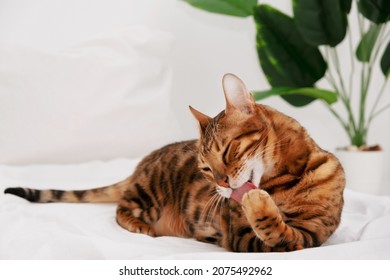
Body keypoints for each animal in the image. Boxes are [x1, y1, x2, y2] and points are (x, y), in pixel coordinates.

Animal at [3, 73, 344, 253]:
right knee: (121, 208)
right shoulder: (242, 236)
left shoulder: (311, 234)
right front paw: (257, 202)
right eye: (206, 168)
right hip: (149, 193)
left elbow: (282, 232)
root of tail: (139, 166)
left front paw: (257, 202)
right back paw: (140, 226)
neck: (287, 179)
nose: (221, 184)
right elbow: (271, 226)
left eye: (227, 151)